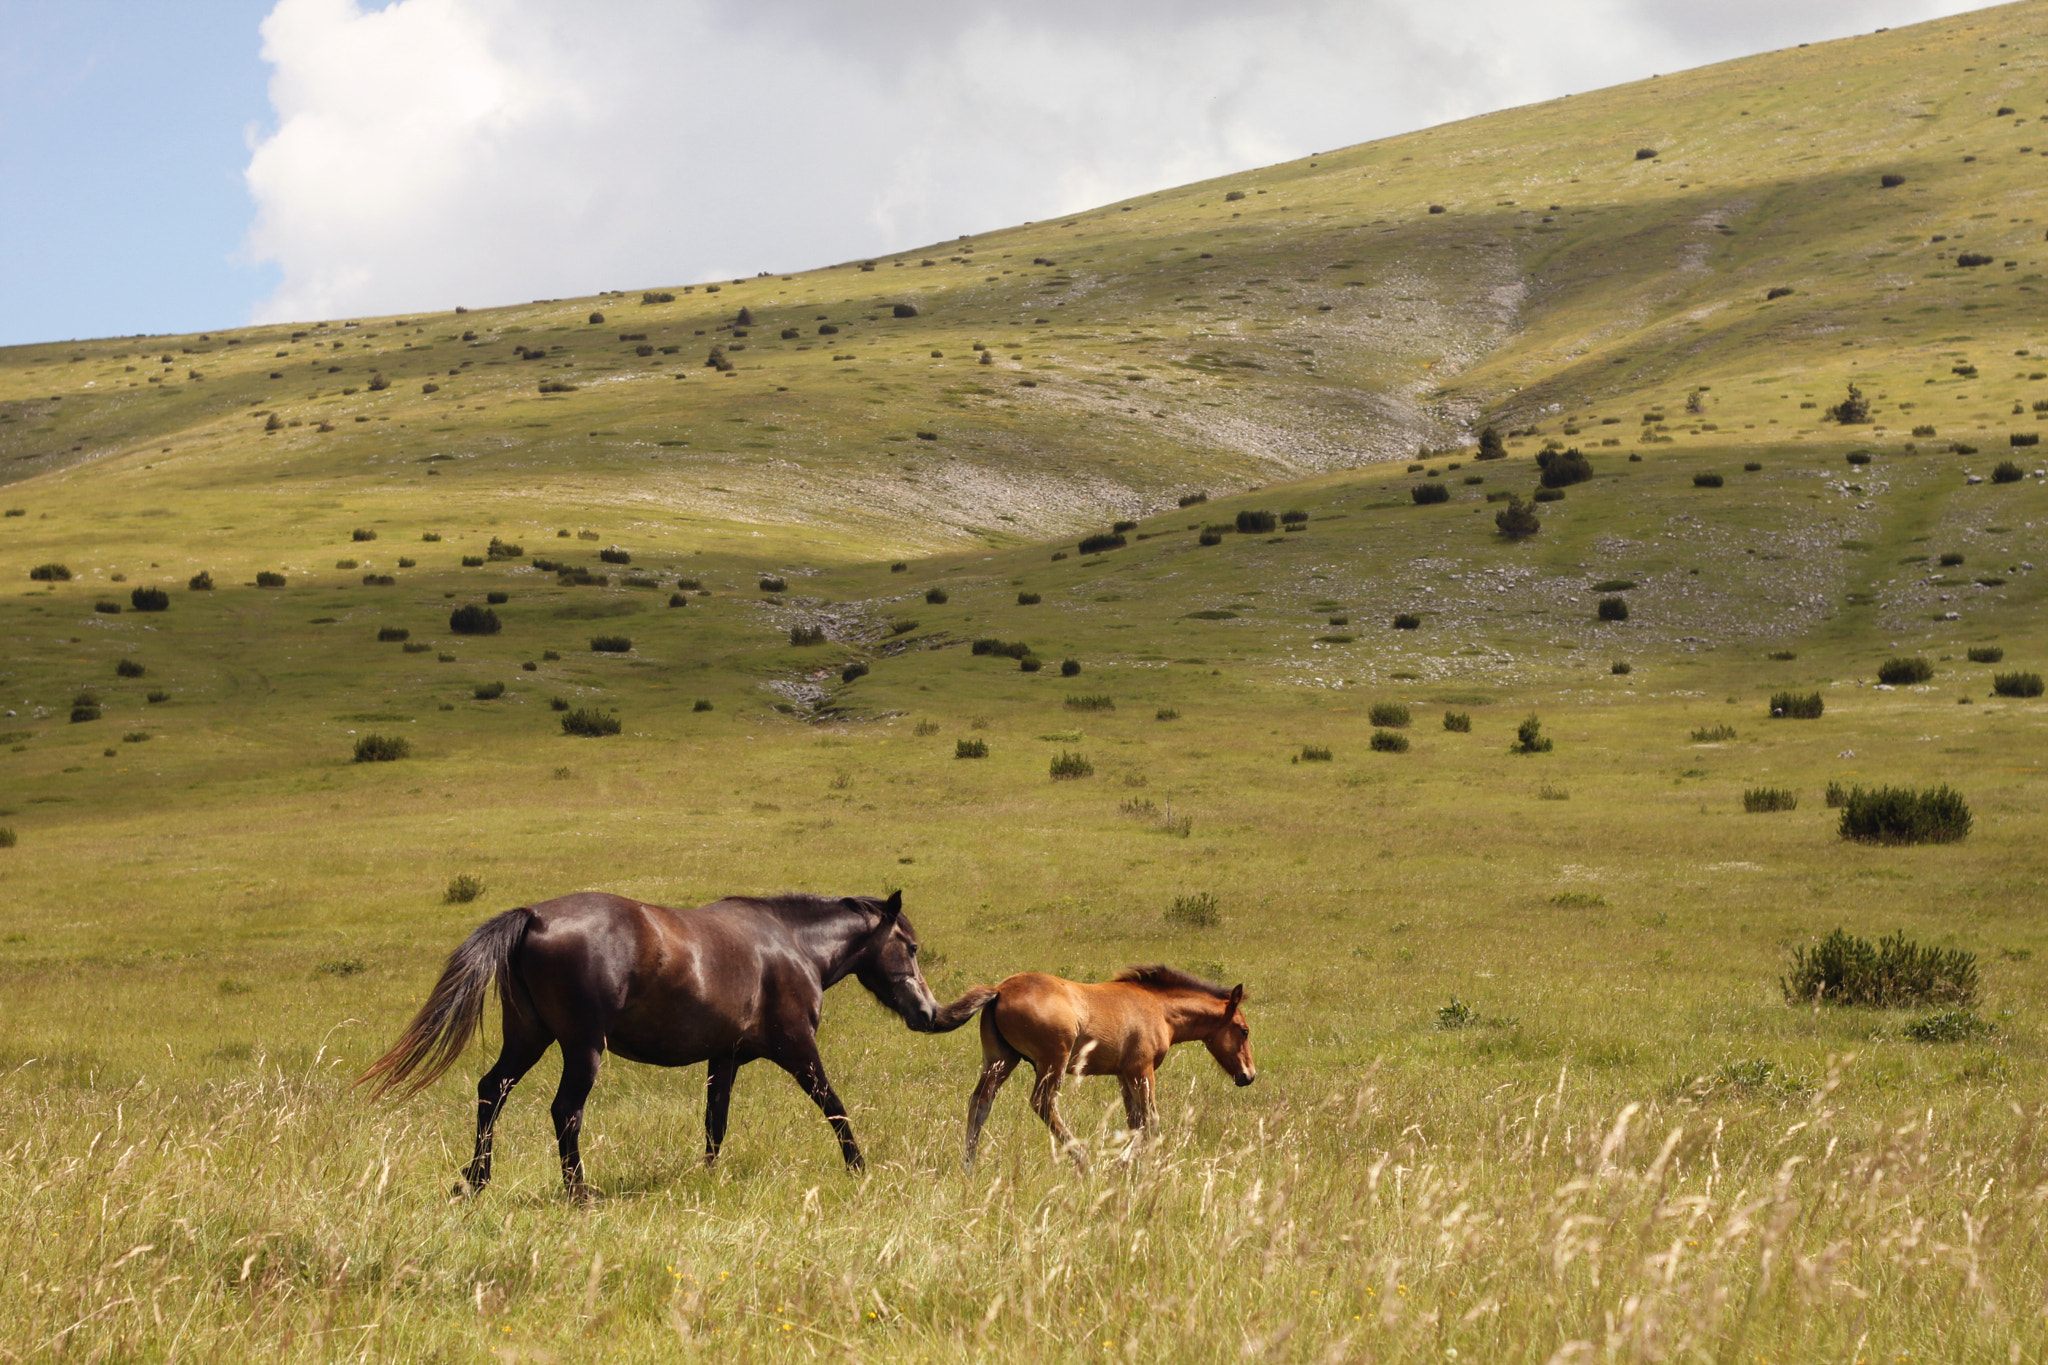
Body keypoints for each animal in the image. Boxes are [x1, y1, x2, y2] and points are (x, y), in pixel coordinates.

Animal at [358, 888, 991, 1195]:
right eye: (910, 947)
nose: (926, 1011)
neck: (793, 944)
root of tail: (533, 916)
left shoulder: (725, 1058)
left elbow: (715, 1123)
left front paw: (707, 1178)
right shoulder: (797, 1049)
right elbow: (833, 1106)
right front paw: (859, 1167)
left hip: (528, 1039)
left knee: (493, 1090)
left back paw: (476, 1181)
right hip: (582, 1048)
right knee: (565, 1111)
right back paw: (577, 1193)